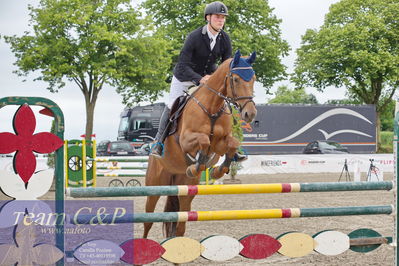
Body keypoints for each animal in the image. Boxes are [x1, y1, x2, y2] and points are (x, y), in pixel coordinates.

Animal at [142, 50, 258, 239]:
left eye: (253, 79)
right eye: (235, 79)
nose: (250, 114)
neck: (212, 107)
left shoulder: (220, 144)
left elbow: (232, 144)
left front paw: (217, 170)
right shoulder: (186, 140)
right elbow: (204, 140)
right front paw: (197, 163)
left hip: (184, 189)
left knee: (180, 225)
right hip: (155, 186)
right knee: (148, 221)